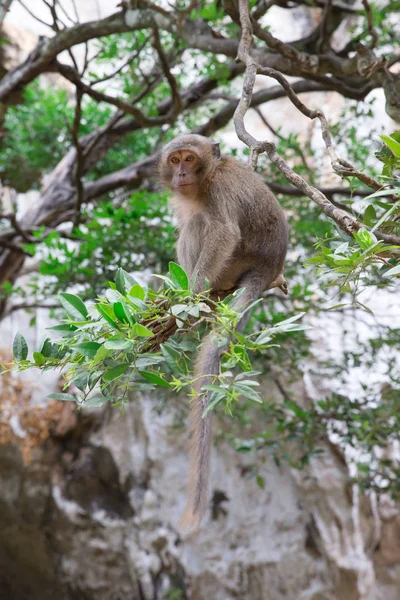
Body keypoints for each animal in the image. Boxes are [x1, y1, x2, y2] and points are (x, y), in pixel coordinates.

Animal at [159, 132, 288, 536]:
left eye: (189, 158)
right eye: (174, 160)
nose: (181, 172)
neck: (207, 177)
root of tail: (269, 268)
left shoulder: (219, 193)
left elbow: (221, 231)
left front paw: (189, 294)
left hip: (234, 263)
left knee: (198, 226)